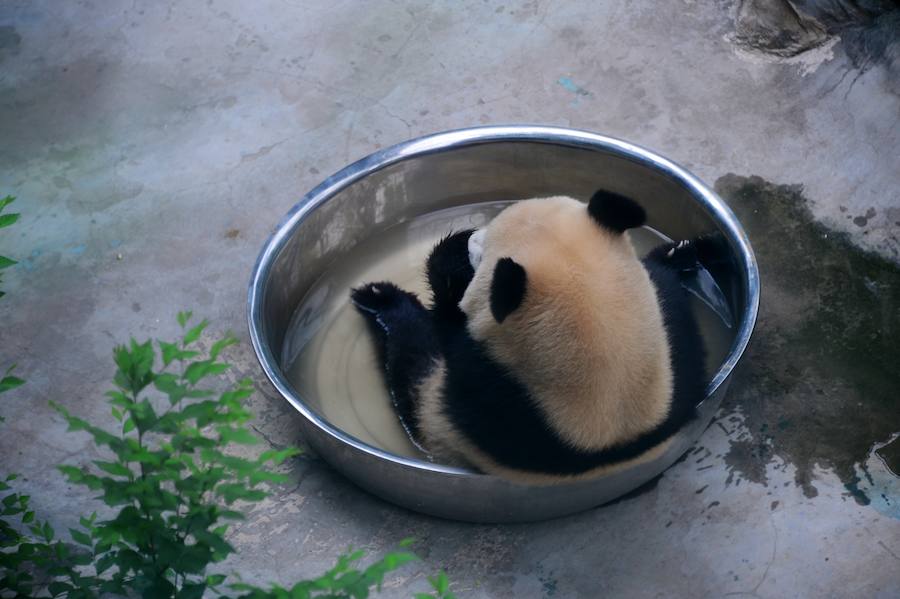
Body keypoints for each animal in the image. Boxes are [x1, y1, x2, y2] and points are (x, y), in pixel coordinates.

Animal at [352, 193, 712, 488]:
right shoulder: (675, 357)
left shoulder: (484, 406)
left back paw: (381, 300)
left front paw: (448, 264)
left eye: (484, 252)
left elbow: (430, 349)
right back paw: (680, 253)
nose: (473, 237)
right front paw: (674, 258)